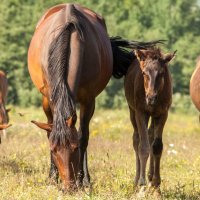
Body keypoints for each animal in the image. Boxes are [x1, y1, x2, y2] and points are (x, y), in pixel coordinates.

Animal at [111, 37, 176, 192]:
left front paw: (156, 184)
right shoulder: (141, 112)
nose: (151, 98)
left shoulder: (162, 113)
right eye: (144, 73)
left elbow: (157, 146)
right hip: (132, 111)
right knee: (136, 139)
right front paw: (141, 183)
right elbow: (143, 146)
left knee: (151, 136)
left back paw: (151, 176)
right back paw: (137, 181)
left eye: (161, 73)